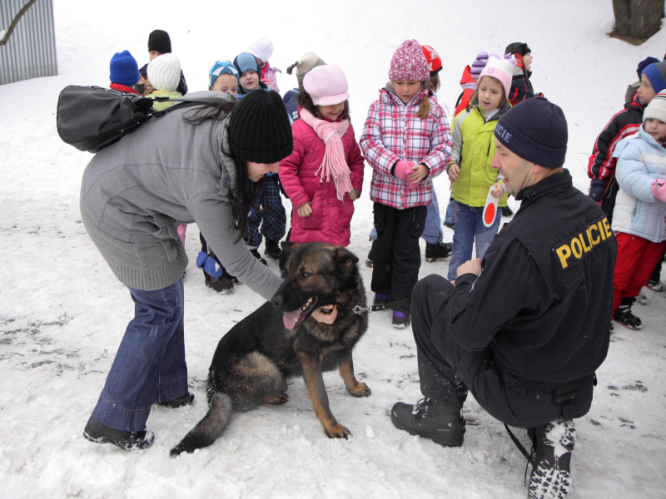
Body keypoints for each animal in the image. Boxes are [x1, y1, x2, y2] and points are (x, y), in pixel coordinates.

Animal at [170, 242, 368, 458]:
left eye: (305, 274)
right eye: (287, 272)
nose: (274, 301)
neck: (342, 309)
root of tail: (214, 381)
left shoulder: (345, 347)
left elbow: (348, 369)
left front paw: (354, 387)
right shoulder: (308, 357)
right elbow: (321, 397)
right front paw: (332, 426)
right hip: (266, 366)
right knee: (245, 398)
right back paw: (272, 396)